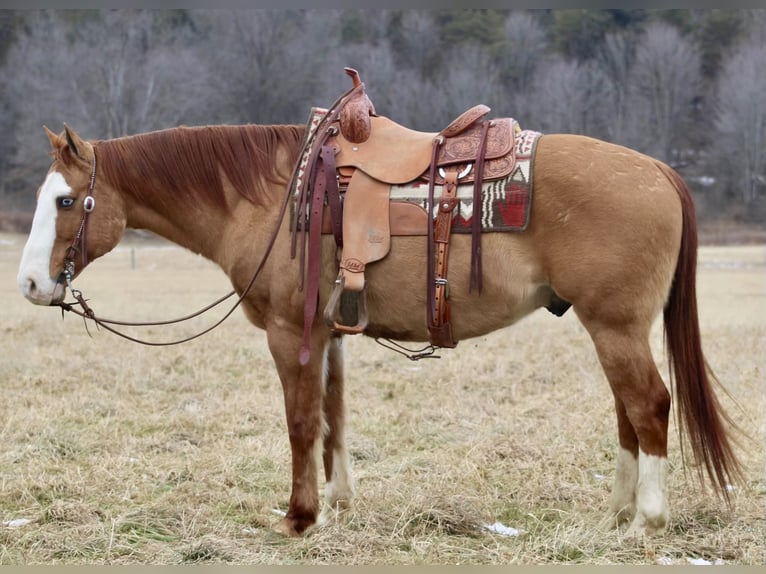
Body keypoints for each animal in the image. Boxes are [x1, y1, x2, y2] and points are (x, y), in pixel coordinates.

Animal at [16, 99, 744, 540]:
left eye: (64, 200)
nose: (28, 284)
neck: (271, 200)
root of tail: (659, 171)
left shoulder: (291, 332)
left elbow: (301, 421)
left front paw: (300, 517)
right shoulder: (327, 333)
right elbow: (335, 417)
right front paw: (339, 504)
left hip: (615, 327)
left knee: (649, 406)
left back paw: (648, 518)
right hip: (612, 328)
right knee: (628, 413)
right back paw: (618, 512)